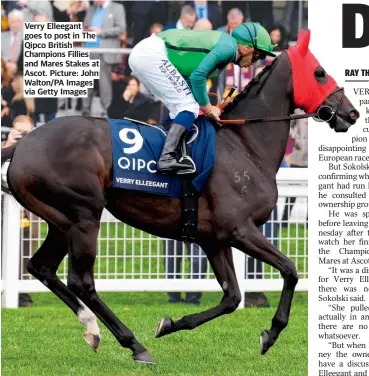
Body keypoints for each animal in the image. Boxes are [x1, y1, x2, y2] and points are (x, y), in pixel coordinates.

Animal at [0, 30, 356, 366]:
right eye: (320, 73)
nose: (351, 114)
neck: (244, 144)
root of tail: (22, 144)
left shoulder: (215, 239)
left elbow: (232, 297)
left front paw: (171, 324)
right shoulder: (240, 229)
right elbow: (290, 270)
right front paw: (270, 333)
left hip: (62, 220)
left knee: (42, 267)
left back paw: (93, 329)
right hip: (84, 214)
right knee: (80, 280)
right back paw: (134, 344)